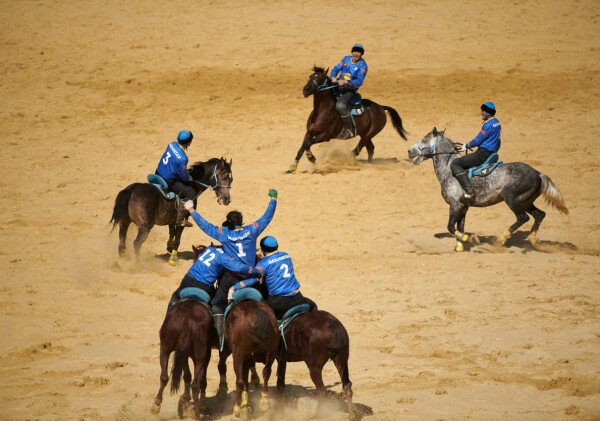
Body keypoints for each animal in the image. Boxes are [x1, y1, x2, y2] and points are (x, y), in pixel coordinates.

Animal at [408, 128, 568, 251]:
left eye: (424, 139)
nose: (409, 151)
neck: (448, 170)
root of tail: (538, 174)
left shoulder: (455, 205)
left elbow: (451, 227)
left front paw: (471, 239)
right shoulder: (463, 207)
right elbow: (460, 227)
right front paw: (460, 245)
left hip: (512, 199)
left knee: (523, 217)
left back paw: (501, 239)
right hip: (526, 202)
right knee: (539, 215)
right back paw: (533, 239)